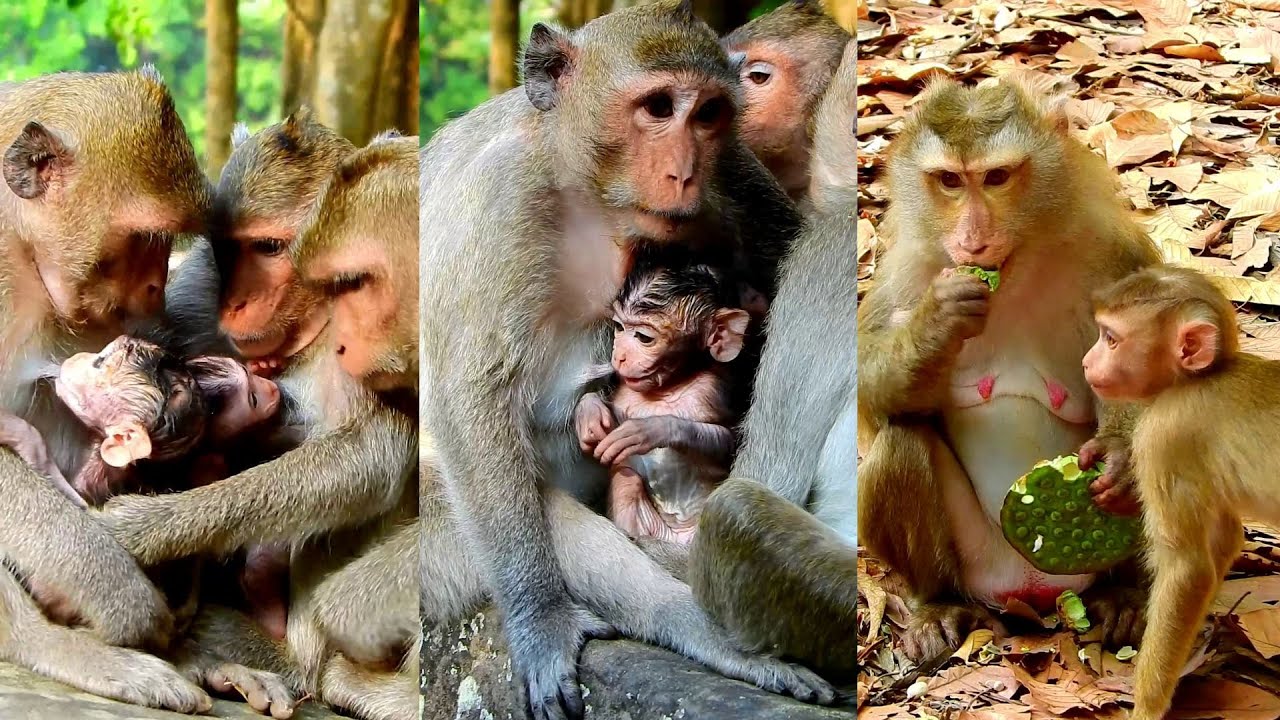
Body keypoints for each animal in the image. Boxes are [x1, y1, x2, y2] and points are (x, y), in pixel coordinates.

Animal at [0, 67, 216, 712]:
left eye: (167, 239)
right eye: (142, 236)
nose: (153, 289)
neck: (20, 252)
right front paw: (121, 594)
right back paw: (49, 646)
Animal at [575, 262, 749, 545]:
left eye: (644, 338)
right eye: (619, 328)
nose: (619, 356)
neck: (666, 389)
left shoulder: (714, 392)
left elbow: (727, 442)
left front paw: (651, 429)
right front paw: (590, 415)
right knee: (627, 481)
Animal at [855, 72, 1164, 662]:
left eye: (996, 177)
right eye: (950, 181)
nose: (973, 240)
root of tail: (1035, 591)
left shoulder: (1116, 252)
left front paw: (1116, 458)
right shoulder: (909, 267)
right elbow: (862, 389)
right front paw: (937, 321)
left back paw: (1126, 594)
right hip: (977, 563)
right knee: (900, 442)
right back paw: (937, 604)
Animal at [1078, 264, 1276, 720]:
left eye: (1110, 338)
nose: (1085, 361)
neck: (1195, 381)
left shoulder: (1164, 436)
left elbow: (1188, 568)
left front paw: (1146, 706)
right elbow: (1224, 539)